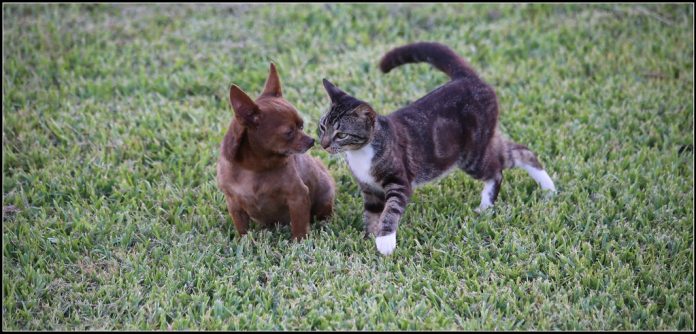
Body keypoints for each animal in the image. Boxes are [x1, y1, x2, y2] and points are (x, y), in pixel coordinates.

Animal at [218, 63, 338, 240]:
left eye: (301, 125)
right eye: (289, 133)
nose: (311, 141)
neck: (255, 167)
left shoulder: (298, 197)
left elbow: (299, 226)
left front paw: (300, 243)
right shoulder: (234, 204)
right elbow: (242, 230)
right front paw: (244, 242)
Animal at [316, 42, 556, 256]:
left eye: (341, 134)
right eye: (322, 127)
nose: (323, 144)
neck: (361, 153)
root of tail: (467, 78)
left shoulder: (399, 181)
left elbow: (391, 209)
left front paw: (385, 241)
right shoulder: (369, 188)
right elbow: (373, 213)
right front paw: (369, 237)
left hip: (471, 154)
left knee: (497, 169)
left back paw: (496, 203)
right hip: (482, 143)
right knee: (518, 151)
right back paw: (547, 189)